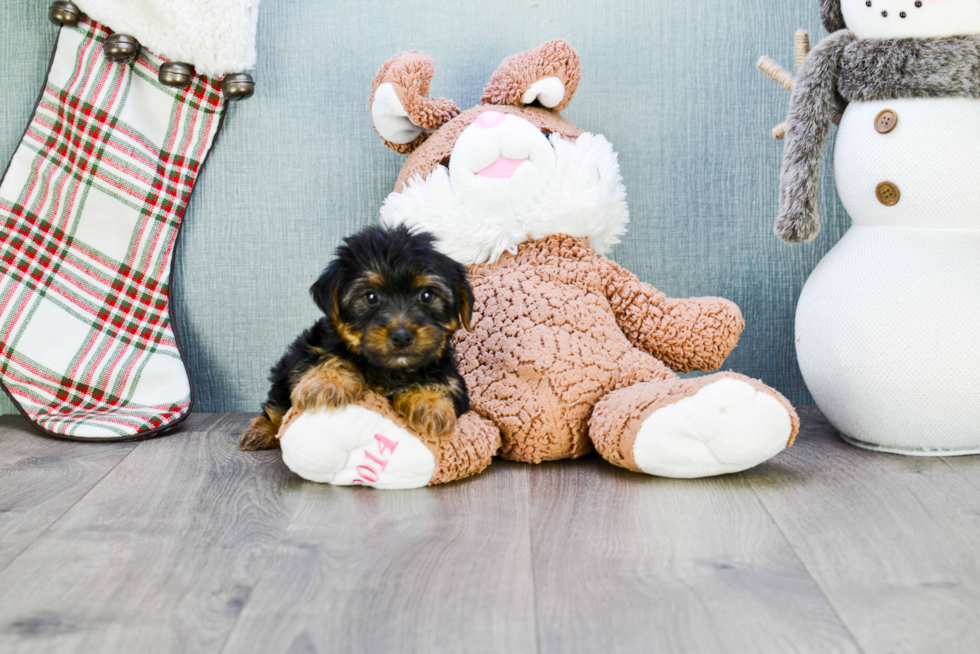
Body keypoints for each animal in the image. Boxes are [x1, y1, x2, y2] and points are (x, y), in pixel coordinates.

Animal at [243, 226, 476, 452]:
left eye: (427, 295)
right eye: (371, 297)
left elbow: (441, 383)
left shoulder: (454, 380)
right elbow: (321, 358)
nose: (402, 336)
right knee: (276, 404)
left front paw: (430, 403)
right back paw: (260, 431)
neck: (388, 369)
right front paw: (327, 383)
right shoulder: (310, 347)